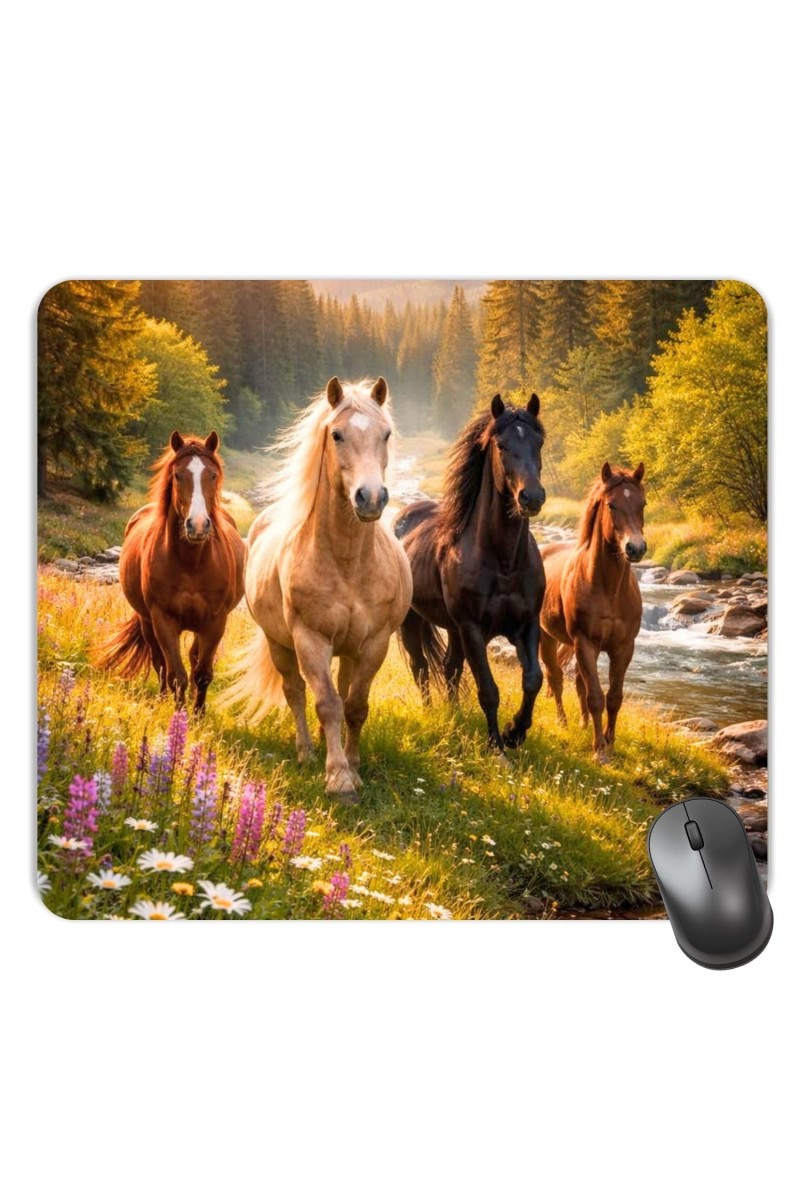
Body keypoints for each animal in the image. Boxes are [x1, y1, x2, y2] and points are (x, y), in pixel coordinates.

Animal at [97, 431, 245, 712]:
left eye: (212, 475)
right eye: (177, 475)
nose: (197, 526)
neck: (191, 563)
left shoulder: (215, 621)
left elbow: (202, 673)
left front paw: (198, 715)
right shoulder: (163, 619)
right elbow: (176, 674)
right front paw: (179, 714)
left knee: (194, 658)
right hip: (147, 622)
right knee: (160, 663)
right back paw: (162, 698)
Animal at [226, 378, 412, 799]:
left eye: (386, 434)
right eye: (337, 434)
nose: (370, 497)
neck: (348, 563)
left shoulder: (374, 643)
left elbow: (355, 705)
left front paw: (354, 767)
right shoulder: (310, 639)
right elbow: (326, 703)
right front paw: (338, 777)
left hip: (348, 651)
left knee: (343, 692)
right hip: (279, 643)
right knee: (295, 691)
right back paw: (306, 752)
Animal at [394, 393, 546, 752]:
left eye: (539, 442)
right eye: (502, 445)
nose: (532, 497)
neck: (504, 562)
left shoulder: (526, 624)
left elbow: (533, 679)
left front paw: (515, 731)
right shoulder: (473, 629)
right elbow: (488, 690)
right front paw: (496, 745)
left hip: (452, 629)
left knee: (450, 668)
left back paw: (454, 714)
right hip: (413, 621)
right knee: (421, 667)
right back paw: (431, 712)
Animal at [538, 462, 646, 762]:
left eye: (642, 504)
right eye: (611, 504)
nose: (635, 548)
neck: (608, 589)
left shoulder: (623, 647)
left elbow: (614, 697)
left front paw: (610, 742)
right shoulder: (584, 642)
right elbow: (596, 696)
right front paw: (599, 750)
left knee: (577, 682)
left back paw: (584, 724)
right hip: (547, 638)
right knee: (556, 678)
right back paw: (563, 722)